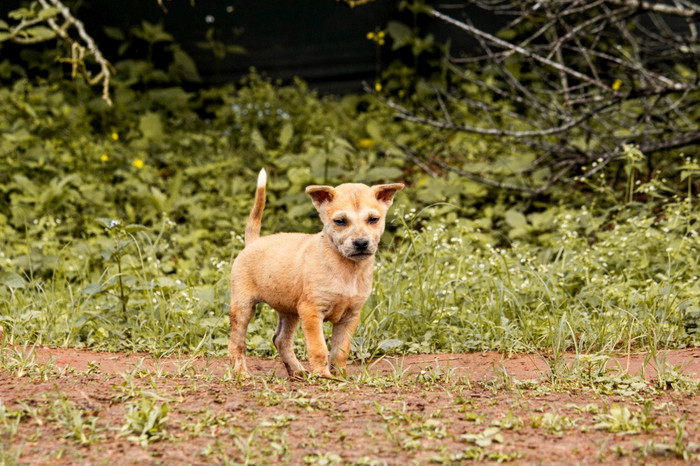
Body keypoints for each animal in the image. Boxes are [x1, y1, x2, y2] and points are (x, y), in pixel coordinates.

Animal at [230, 169, 404, 376]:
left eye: (373, 219)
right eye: (340, 221)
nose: (361, 243)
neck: (347, 269)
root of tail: (253, 242)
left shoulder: (350, 316)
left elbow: (341, 350)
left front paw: (341, 375)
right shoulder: (312, 311)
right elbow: (319, 347)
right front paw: (323, 376)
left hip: (289, 311)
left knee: (281, 340)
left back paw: (296, 372)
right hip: (243, 307)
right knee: (237, 344)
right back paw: (241, 373)